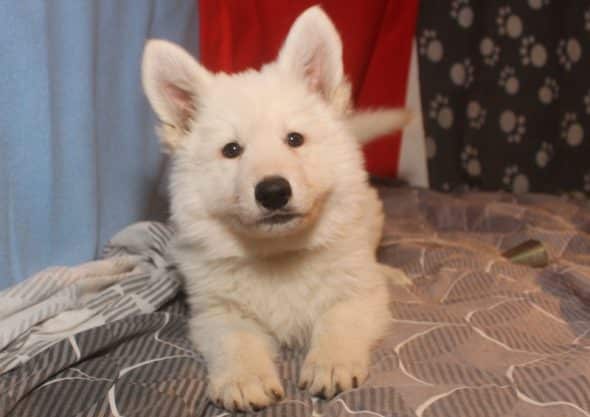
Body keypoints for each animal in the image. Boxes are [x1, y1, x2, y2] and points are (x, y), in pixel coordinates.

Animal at [143, 5, 412, 410]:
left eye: (294, 139)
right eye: (232, 150)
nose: (272, 192)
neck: (278, 254)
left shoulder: (360, 298)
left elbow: (339, 320)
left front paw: (331, 363)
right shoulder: (215, 313)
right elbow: (236, 341)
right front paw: (245, 378)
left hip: (371, 217)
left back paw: (391, 273)